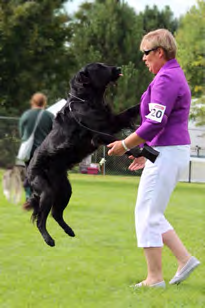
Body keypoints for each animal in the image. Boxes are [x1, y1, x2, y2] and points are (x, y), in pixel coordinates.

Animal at [26, 61, 159, 247]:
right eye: (99, 67)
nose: (118, 68)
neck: (88, 100)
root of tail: (28, 169)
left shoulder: (112, 122)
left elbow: (129, 112)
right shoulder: (99, 134)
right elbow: (119, 142)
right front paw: (139, 152)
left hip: (65, 189)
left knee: (56, 214)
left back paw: (69, 230)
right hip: (46, 191)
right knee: (40, 219)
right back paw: (48, 239)